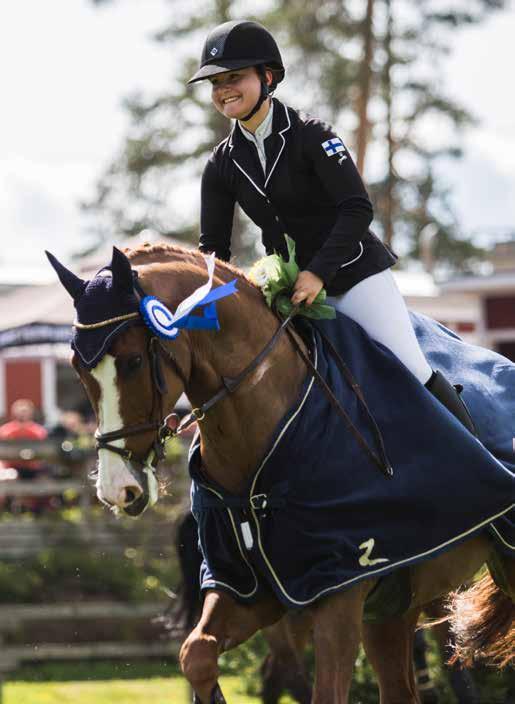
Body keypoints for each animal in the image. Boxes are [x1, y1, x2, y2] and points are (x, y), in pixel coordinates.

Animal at [47, 243, 512, 704]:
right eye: (77, 367)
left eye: (133, 361)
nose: (117, 489)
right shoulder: (252, 588)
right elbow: (196, 654)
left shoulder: (338, 590)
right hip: (392, 609)